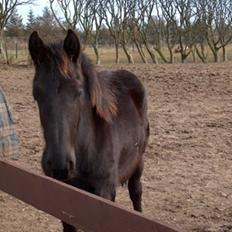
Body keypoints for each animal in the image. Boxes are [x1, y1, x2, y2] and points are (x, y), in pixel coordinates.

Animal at [28, 29, 150, 231]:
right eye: (36, 94)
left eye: (78, 92)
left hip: (138, 160)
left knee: (136, 192)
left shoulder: (103, 194)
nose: (59, 166)